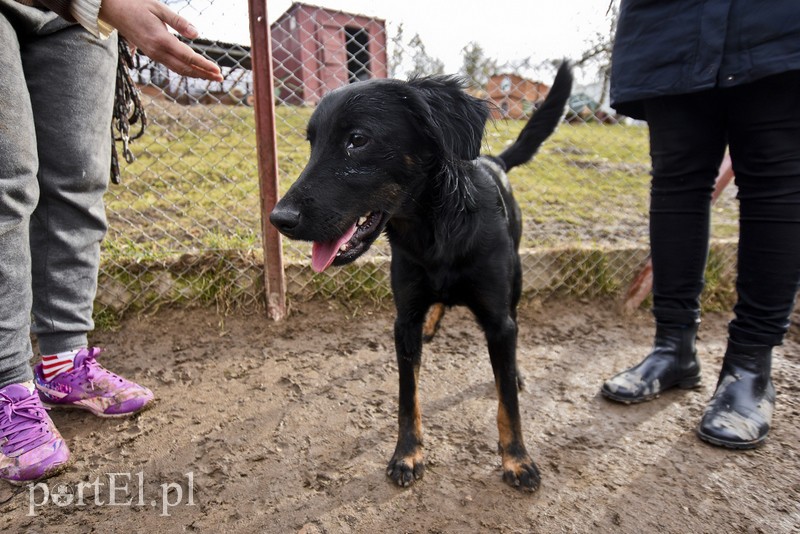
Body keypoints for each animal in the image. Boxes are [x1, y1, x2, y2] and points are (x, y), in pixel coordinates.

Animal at [272, 60, 572, 492]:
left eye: (357, 140)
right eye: (312, 143)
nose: (278, 219)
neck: (436, 232)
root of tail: (494, 161)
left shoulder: (498, 321)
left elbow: (508, 405)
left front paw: (517, 459)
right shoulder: (405, 321)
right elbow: (406, 396)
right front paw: (407, 453)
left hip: (514, 283)